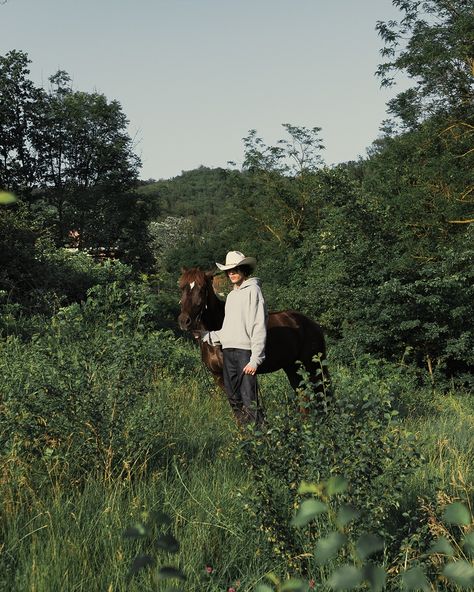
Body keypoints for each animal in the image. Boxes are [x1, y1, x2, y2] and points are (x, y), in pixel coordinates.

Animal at [176, 268, 328, 410]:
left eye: (202, 288)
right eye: (182, 287)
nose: (184, 321)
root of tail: (314, 325)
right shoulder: (218, 377)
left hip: (312, 367)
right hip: (293, 368)